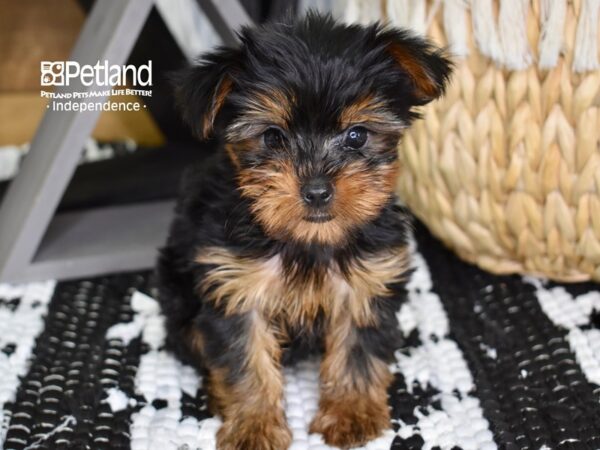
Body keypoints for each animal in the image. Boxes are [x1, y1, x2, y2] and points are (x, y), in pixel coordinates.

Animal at [158, 12, 450, 448]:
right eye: (272, 137)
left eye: (356, 135)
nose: (316, 190)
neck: (309, 241)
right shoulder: (235, 286)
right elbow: (245, 361)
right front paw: (254, 426)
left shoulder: (367, 282)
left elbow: (357, 349)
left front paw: (351, 413)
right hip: (177, 290)